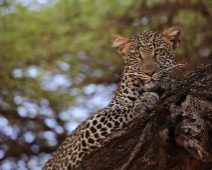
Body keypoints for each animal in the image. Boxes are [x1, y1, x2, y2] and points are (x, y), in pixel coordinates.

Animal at [42, 25, 182, 169]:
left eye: (158, 51)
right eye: (137, 55)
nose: (150, 72)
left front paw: (168, 82)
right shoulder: (90, 127)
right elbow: (121, 110)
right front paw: (145, 100)